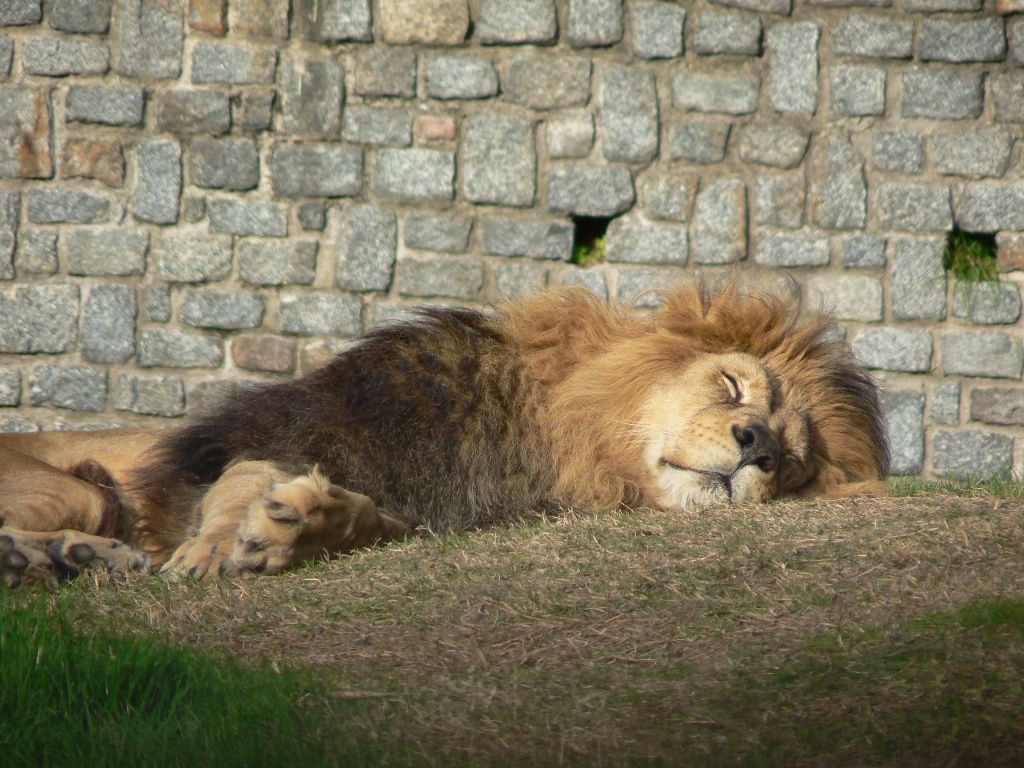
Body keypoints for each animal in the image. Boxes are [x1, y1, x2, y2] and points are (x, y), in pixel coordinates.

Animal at [0, 279, 888, 588]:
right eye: (734, 386)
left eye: (792, 464)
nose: (756, 447)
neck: (555, 448)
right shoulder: (282, 430)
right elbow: (243, 474)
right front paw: (219, 545)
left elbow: (370, 522)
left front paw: (309, 525)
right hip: (75, 485)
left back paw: (72, 560)